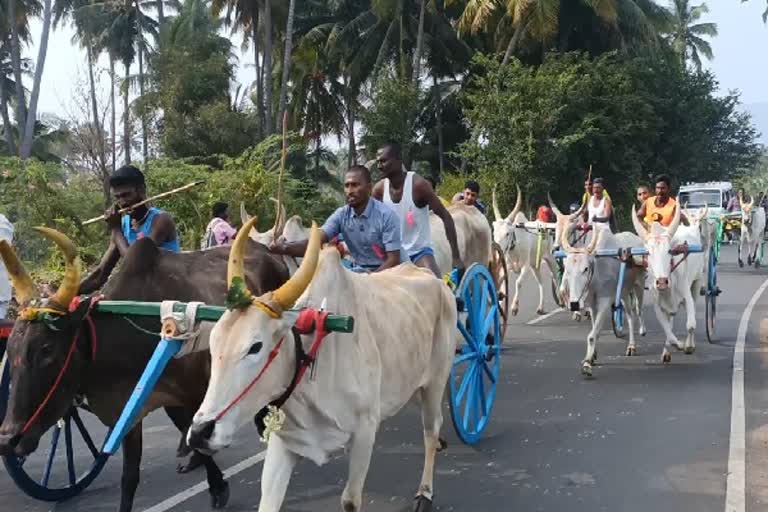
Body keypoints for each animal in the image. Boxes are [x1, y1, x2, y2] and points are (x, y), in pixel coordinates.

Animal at [0, 229, 290, 512]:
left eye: (46, 349)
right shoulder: (132, 410)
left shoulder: (194, 394)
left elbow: (196, 437)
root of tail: (267, 251)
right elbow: (130, 478)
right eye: (10, 351)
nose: (8, 439)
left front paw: (219, 487)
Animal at [188, 219, 460, 512]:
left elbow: (350, 500)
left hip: (435, 381)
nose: (200, 433)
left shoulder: (364, 433)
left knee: (431, 430)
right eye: (213, 343)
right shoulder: (285, 444)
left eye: (255, 346)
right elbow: (268, 503)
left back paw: (425, 492)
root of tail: (435, 279)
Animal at [560, 224, 648, 376]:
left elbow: (591, 336)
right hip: (623, 293)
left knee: (638, 309)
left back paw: (641, 332)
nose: (574, 304)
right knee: (630, 316)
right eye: (567, 269)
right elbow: (596, 331)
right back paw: (631, 346)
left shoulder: (604, 302)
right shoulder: (593, 306)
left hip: (639, 285)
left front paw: (587, 364)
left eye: (585, 268)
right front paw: (592, 356)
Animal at [632, 202, 704, 362]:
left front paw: (688, 346)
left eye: (670, 251)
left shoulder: (687, 296)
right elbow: (669, 334)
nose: (662, 282)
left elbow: (691, 325)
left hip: (697, 282)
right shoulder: (658, 306)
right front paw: (676, 346)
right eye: (648, 253)